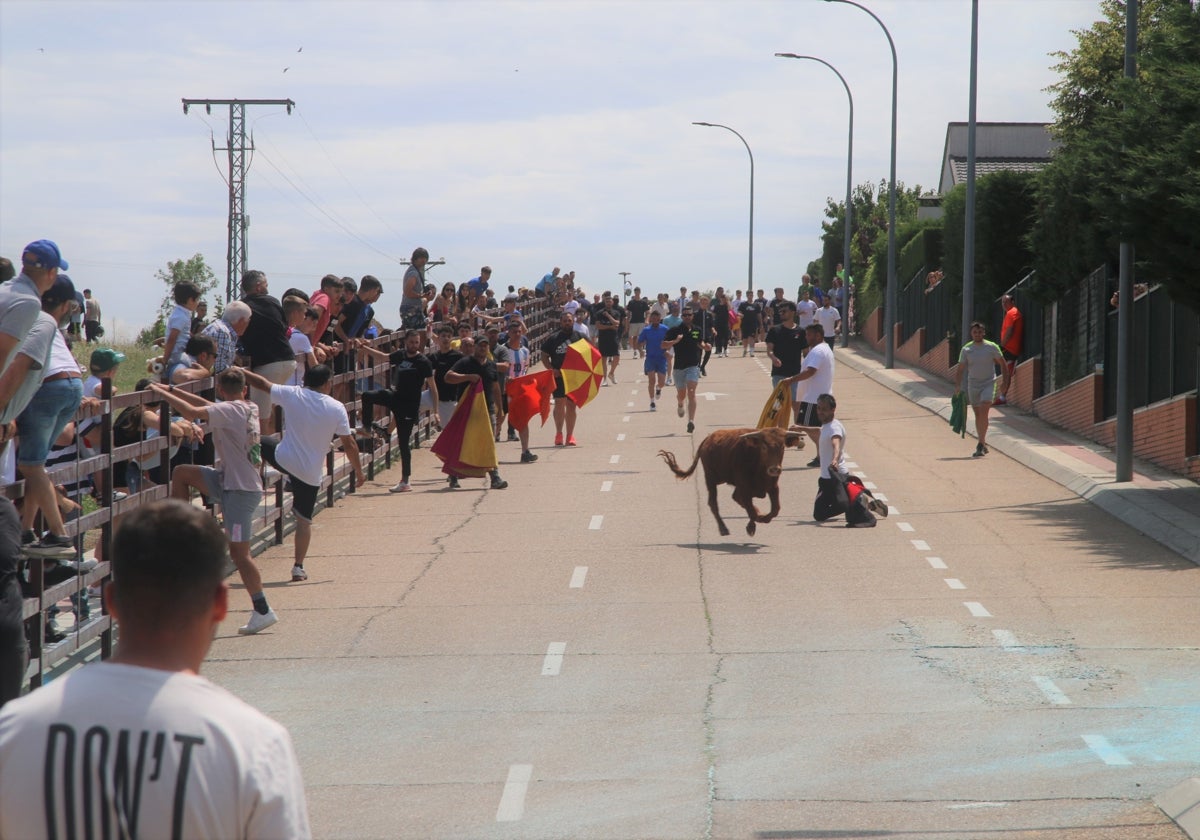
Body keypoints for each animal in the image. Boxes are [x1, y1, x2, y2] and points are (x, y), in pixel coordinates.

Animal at [662, 427, 801, 537]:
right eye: (764, 446)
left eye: (782, 446)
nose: (774, 469)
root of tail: (708, 439)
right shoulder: (744, 488)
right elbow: (751, 510)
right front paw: (752, 527)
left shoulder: (773, 487)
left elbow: (775, 509)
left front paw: (762, 517)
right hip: (711, 479)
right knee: (713, 503)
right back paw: (723, 529)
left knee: (735, 498)